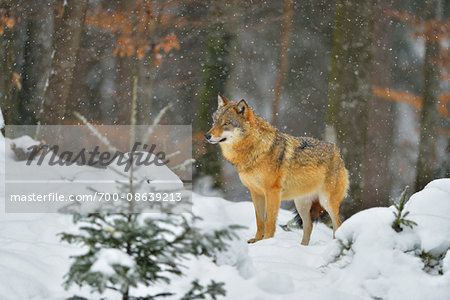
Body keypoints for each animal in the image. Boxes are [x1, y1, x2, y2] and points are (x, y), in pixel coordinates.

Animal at [206, 95, 350, 245]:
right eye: (215, 122)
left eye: (226, 123)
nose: (207, 136)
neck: (254, 150)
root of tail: (338, 152)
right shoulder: (255, 192)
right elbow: (260, 221)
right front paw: (257, 240)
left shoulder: (272, 192)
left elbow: (269, 221)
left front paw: (266, 241)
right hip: (301, 204)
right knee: (308, 226)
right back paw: (302, 247)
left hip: (326, 202)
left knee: (337, 225)